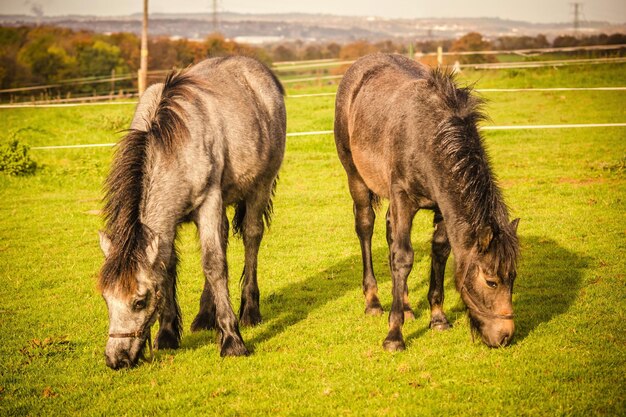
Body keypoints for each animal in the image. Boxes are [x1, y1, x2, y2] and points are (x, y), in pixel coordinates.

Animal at [97, 56, 286, 368]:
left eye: (140, 301)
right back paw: (206, 316)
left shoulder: (208, 202)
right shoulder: (170, 224)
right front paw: (167, 334)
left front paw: (232, 340)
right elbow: (170, 266)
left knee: (251, 237)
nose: (117, 359)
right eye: (106, 299)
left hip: (260, 185)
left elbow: (214, 264)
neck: (173, 145)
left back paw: (249, 311)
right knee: (223, 237)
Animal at [334, 53, 520, 350]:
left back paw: (408, 306)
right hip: (356, 179)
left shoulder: (442, 207)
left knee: (389, 230)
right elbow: (403, 258)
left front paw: (438, 318)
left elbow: (440, 251)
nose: (504, 337)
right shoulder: (403, 198)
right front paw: (394, 335)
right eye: (491, 281)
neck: (431, 139)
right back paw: (373, 302)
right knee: (365, 227)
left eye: (512, 277)